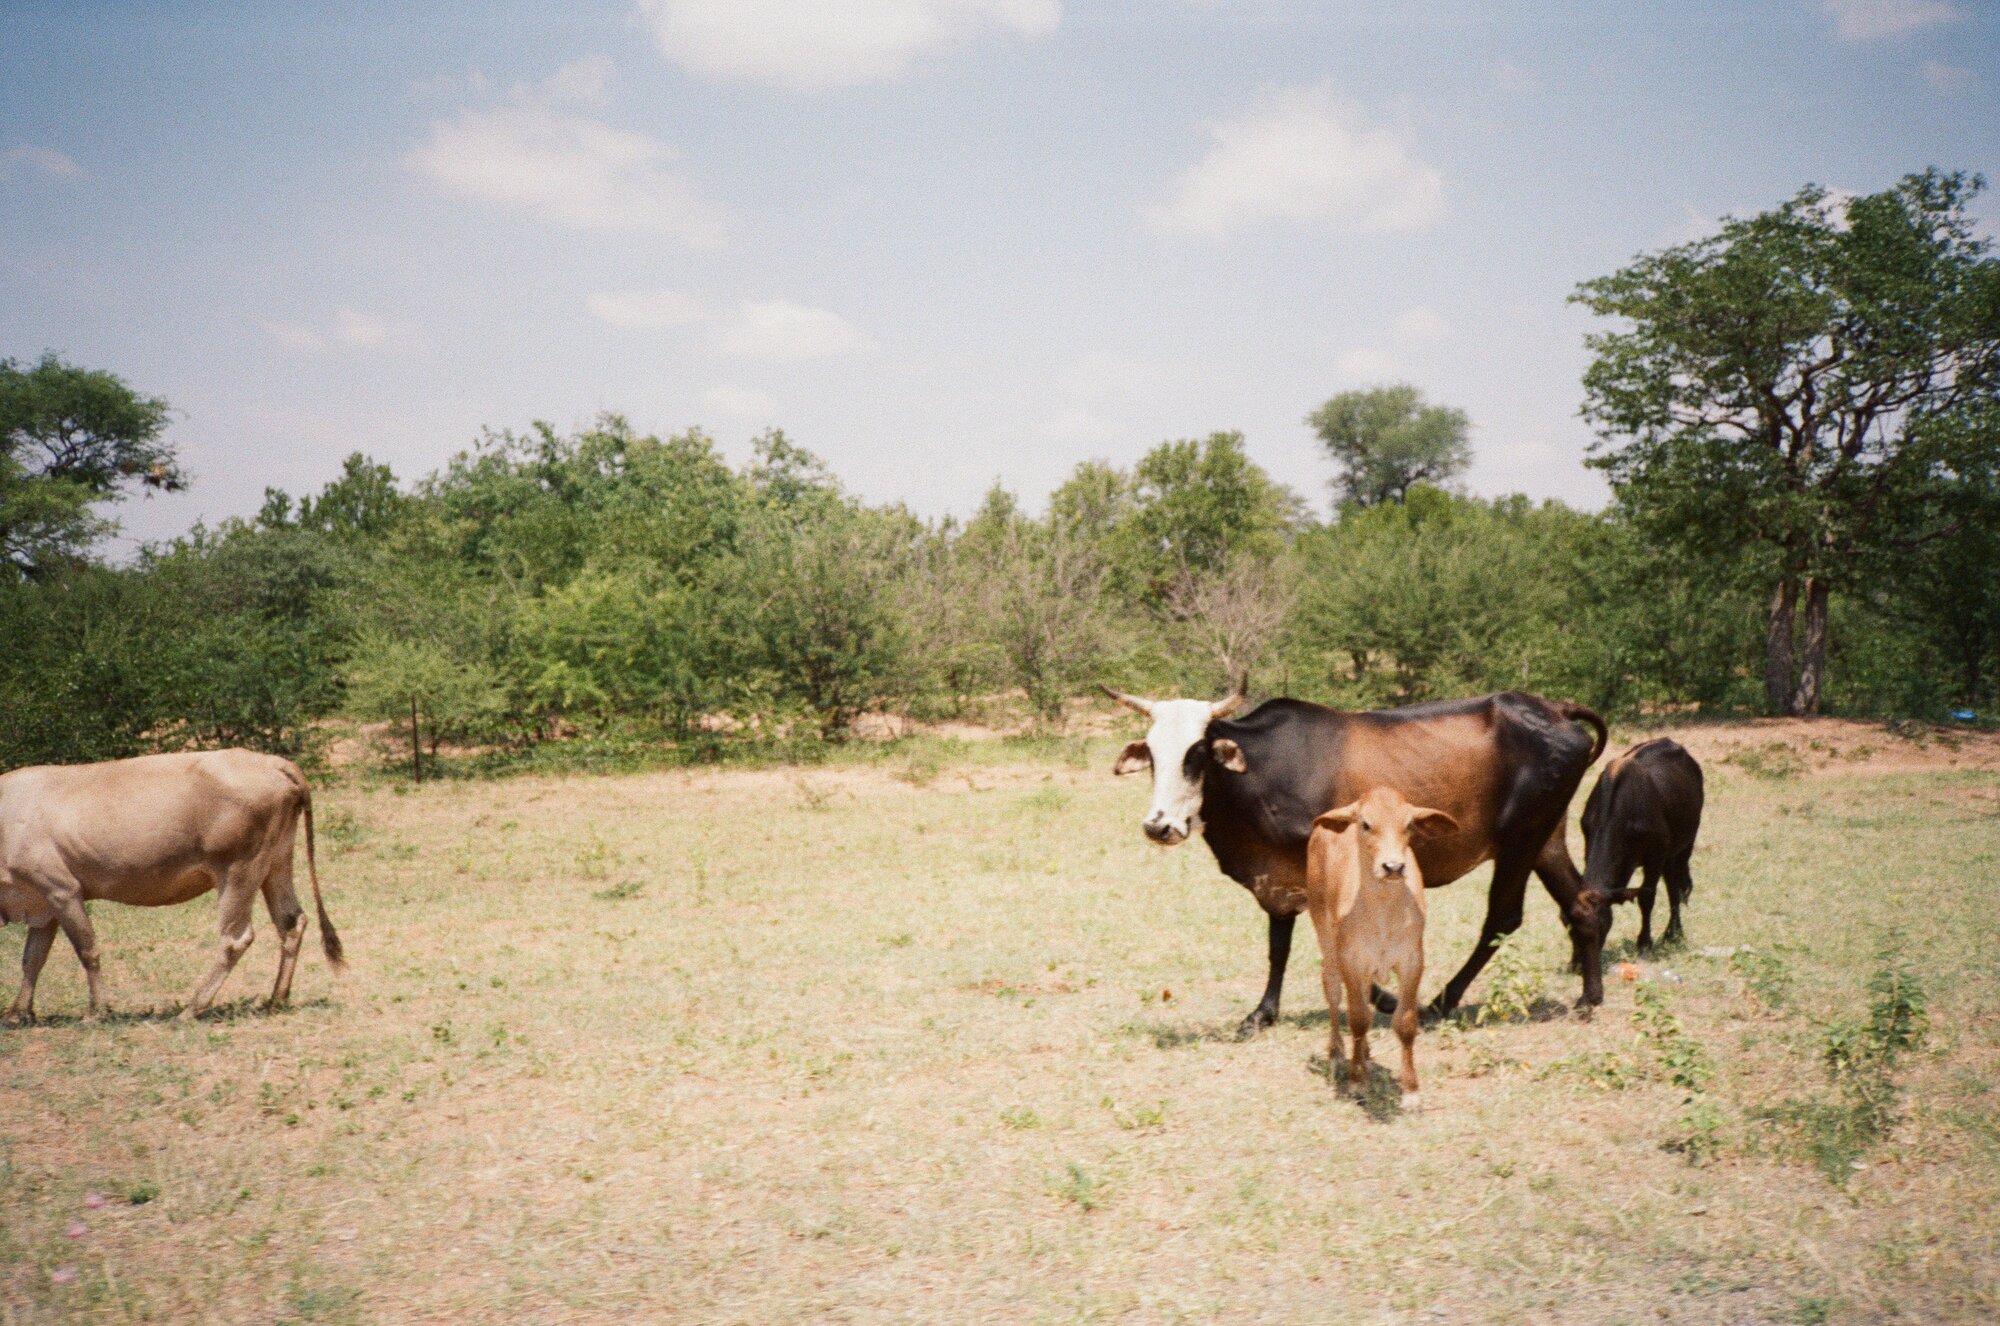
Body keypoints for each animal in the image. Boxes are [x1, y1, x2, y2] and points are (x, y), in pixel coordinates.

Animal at [0, 748, 342, 1024]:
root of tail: (271, 761)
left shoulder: (62, 889)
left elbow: (87, 950)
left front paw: (97, 1012)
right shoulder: (42, 901)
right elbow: (32, 959)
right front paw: (18, 1013)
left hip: (238, 870)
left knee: (235, 939)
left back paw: (193, 1008)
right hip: (276, 862)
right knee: (291, 922)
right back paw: (276, 999)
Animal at [1312, 788, 1456, 1112]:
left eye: (1409, 824)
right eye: (1366, 824)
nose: (1393, 867)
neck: (1382, 914)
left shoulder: (1412, 961)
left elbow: (1404, 1022)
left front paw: (1411, 1091)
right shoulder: (1350, 960)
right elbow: (1357, 1019)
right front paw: (1356, 1082)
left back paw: (1364, 1054)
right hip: (1324, 935)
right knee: (1332, 991)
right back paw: (1337, 1053)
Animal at [1576, 736, 1704, 956]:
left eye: (1599, 923)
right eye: (1565, 922)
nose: (1577, 961)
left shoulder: (1655, 858)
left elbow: (1647, 898)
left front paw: (1644, 943)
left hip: (1684, 846)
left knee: (1676, 888)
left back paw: (1674, 933)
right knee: (1673, 886)